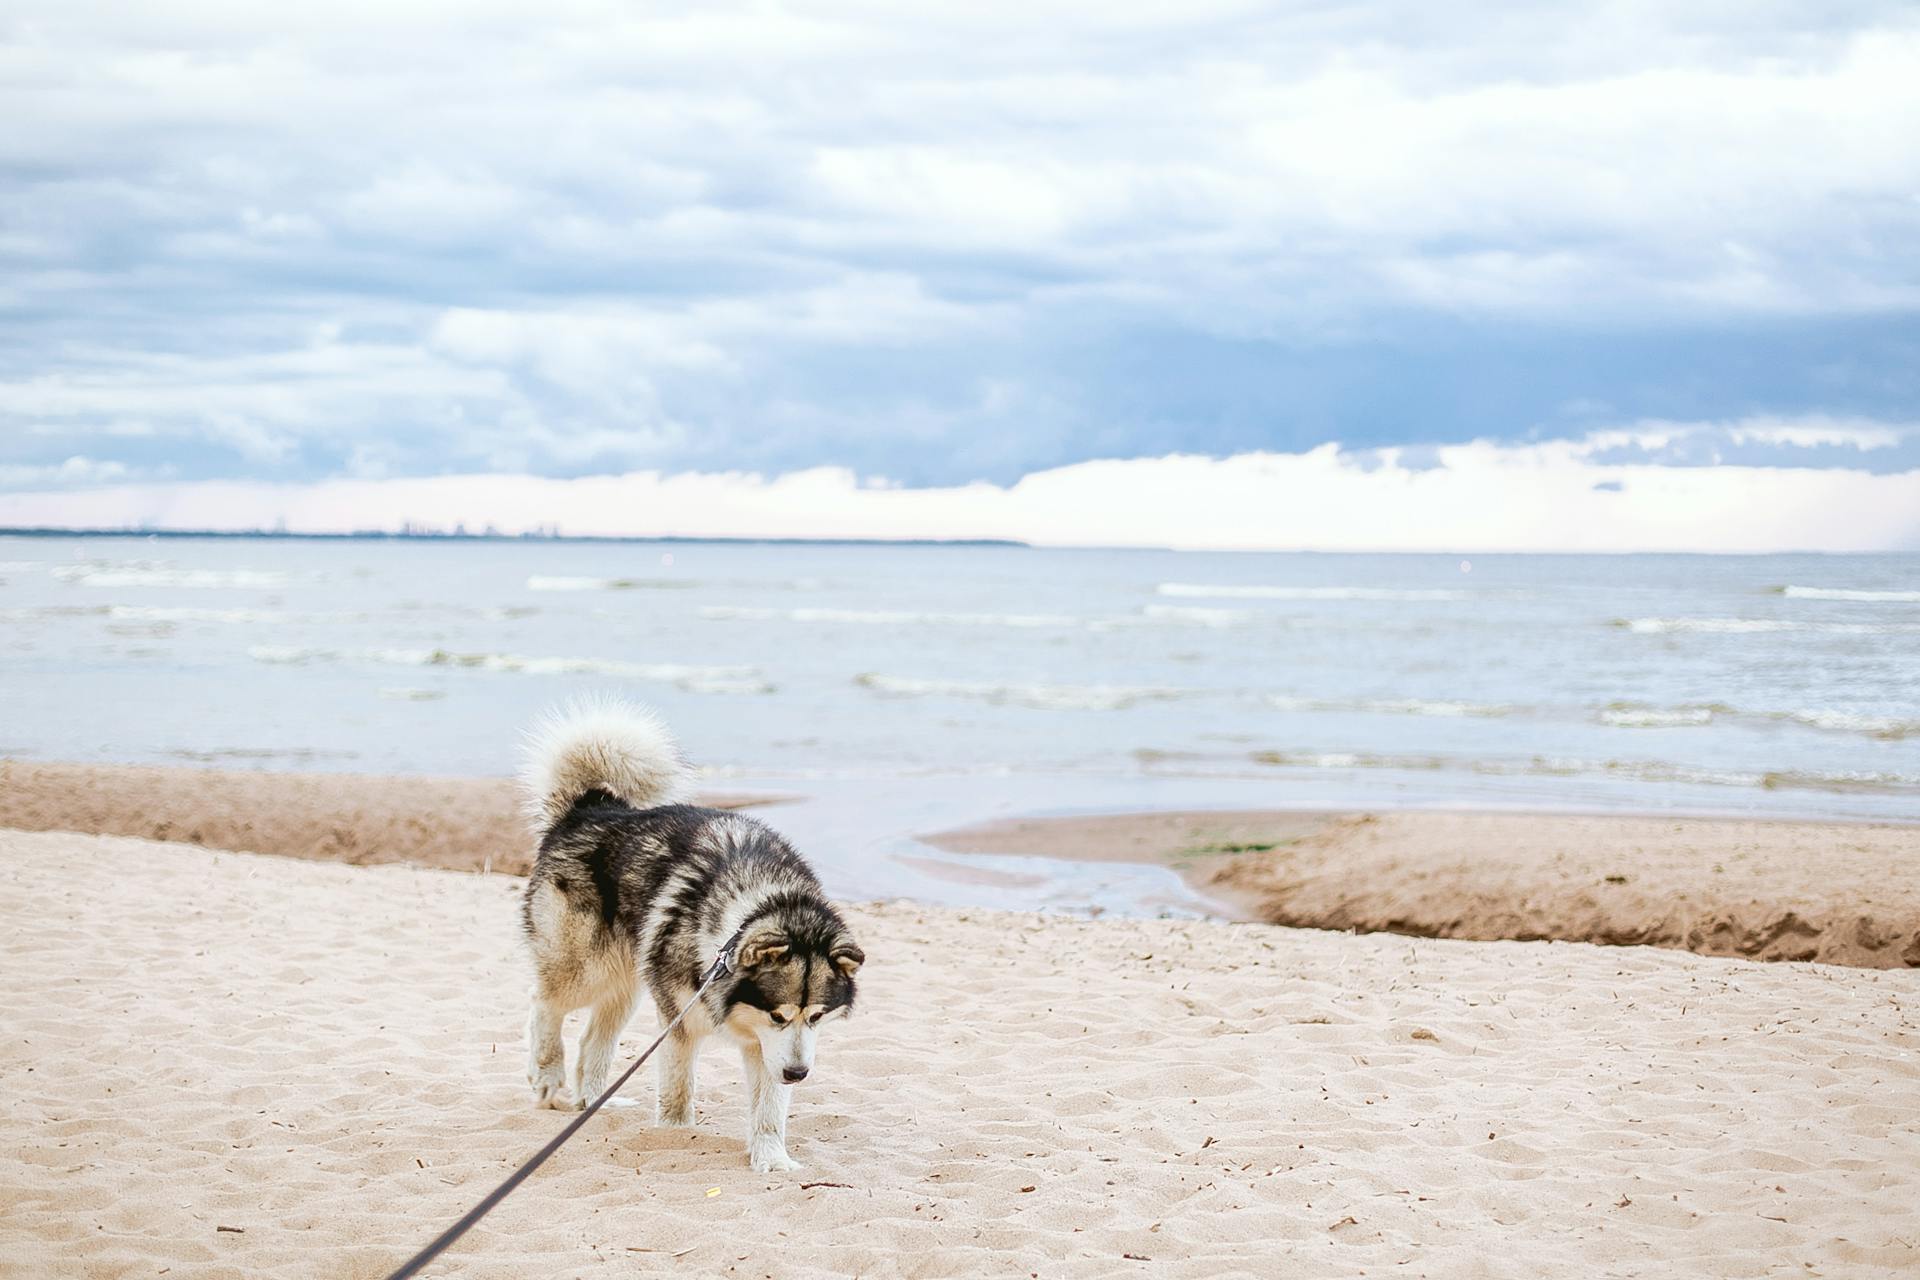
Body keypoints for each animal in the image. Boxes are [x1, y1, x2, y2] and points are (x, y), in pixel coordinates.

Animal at [518, 702, 864, 1174]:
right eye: (778, 1015)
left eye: (816, 1016)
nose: (798, 1074)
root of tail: (590, 808)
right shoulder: (681, 1026)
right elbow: (677, 1095)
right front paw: (676, 1138)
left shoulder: (768, 1048)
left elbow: (769, 1110)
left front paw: (772, 1159)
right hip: (587, 970)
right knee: (544, 1002)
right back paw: (547, 1077)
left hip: (626, 985)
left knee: (592, 1040)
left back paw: (594, 1103)